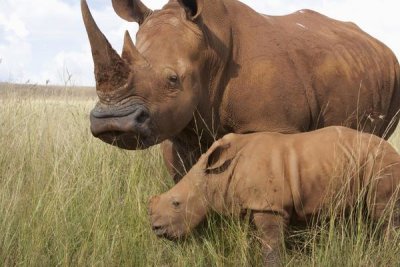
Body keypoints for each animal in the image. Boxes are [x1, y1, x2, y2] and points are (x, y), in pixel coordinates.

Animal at [148, 127, 398, 266]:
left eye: (176, 203)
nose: (156, 229)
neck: (215, 176)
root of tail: (394, 151)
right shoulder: (253, 204)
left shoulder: (269, 206)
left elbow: (271, 246)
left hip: (382, 164)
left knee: (382, 215)